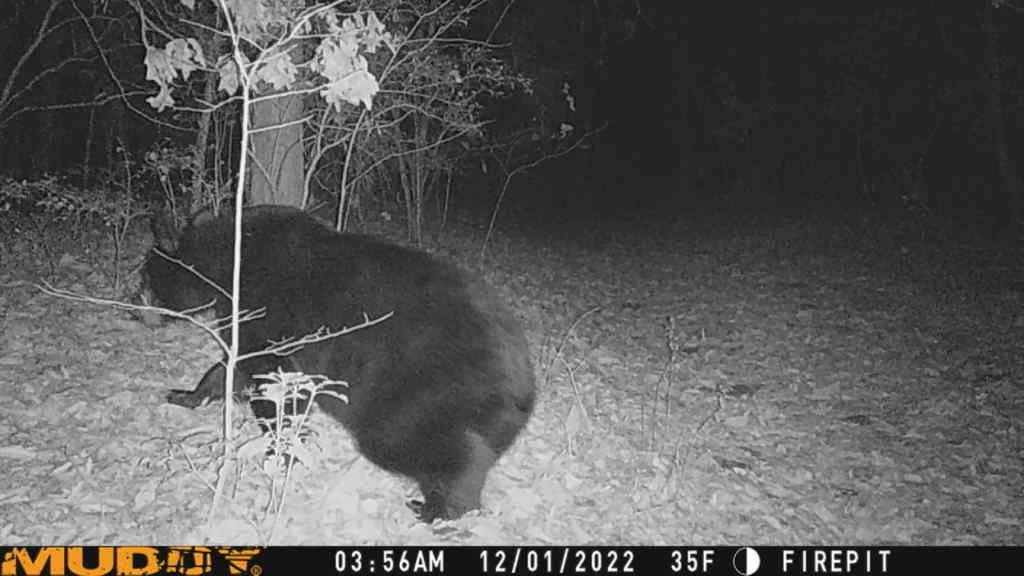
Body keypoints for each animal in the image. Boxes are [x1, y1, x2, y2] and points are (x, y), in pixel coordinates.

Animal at [137, 205, 536, 522]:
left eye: (145, 277)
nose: (133, 307)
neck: (229, 261)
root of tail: (525, 382)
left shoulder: (269, 314)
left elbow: (277, 381)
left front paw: (281, 452)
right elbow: (230, 368)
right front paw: (185, 394)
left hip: (426, 392)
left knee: (422, 444)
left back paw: (439, 508)